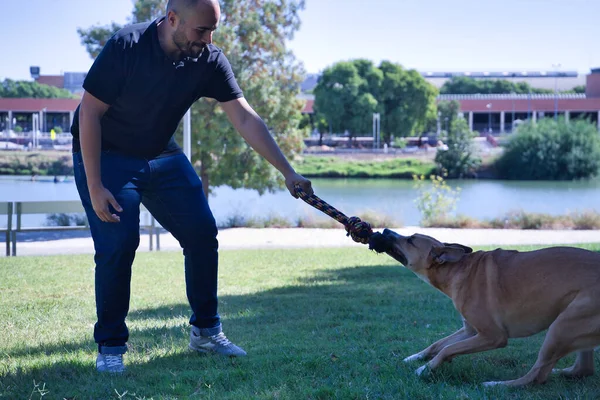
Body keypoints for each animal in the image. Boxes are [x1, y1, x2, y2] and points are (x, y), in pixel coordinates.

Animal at [370, 228, 600, 388]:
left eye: (410, 239)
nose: (385, 230)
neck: (457, 269)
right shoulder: (470, 330)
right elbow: (438, 344)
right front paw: (416, 358)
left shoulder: (492, 336)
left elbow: (447, 348)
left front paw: (426, 369)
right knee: (582, 369)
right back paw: (560, 372)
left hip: (561, 327)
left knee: (536, 376)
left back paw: (497, 385)